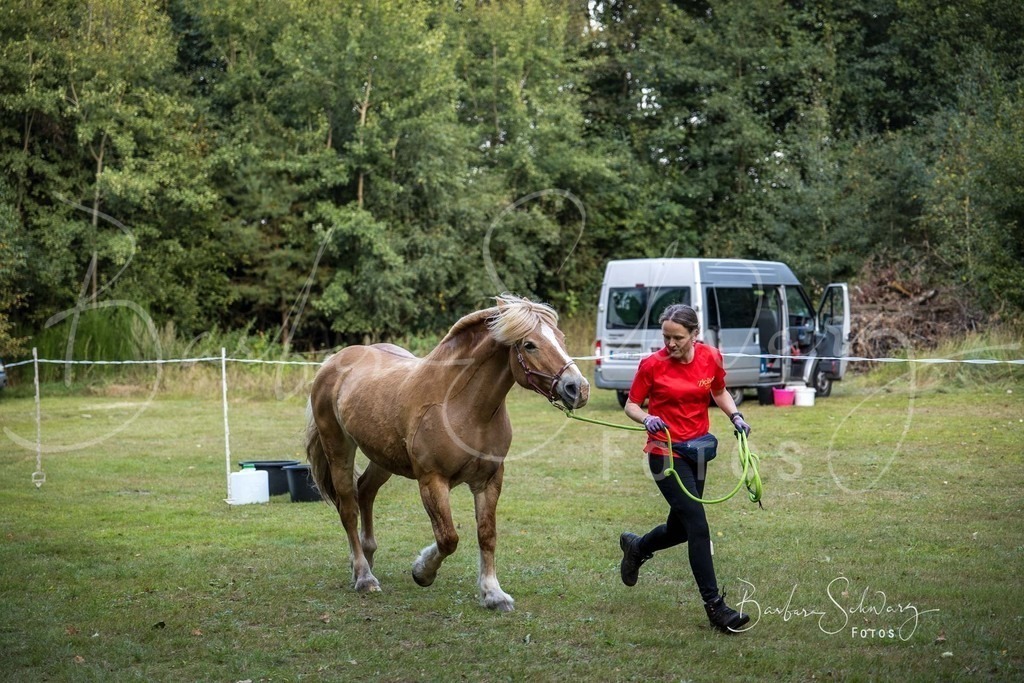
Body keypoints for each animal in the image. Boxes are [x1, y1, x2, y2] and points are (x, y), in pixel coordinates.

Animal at [305, 295, 589, 612]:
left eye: (561, 338)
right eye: (529, 344)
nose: (577, 388)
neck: (462, 406)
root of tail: (333, 362)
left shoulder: (489, 481)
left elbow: (487, 535)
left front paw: (493, 594)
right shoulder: (432, 481)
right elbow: (448, 537)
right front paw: (422, 571)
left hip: (382, 458)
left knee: (365, 491)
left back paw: (367, 558)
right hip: (339, 448)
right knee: (348, 508)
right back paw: (364, 576)